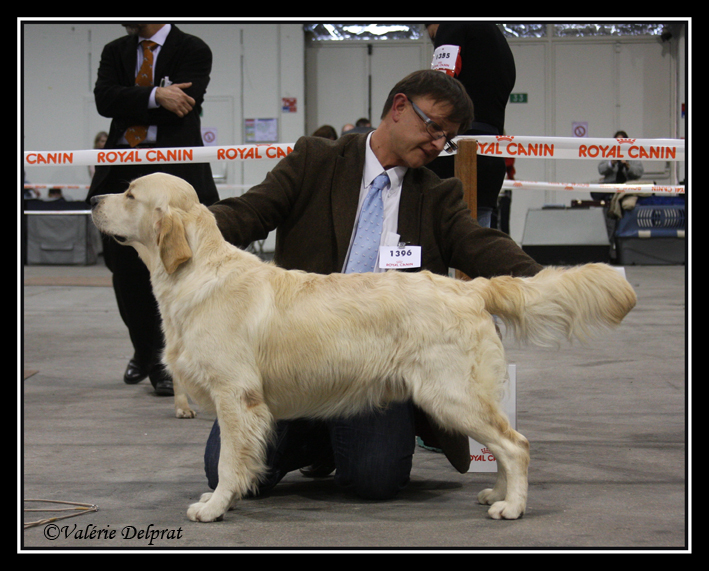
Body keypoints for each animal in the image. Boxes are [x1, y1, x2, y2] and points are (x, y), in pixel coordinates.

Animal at [90, 173, 636, 524]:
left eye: (130, 193)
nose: (94, 197)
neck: (196, 273)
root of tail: (471, 288)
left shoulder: (235, 396)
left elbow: (226, 461)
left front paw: (214, 506)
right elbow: (237, 460)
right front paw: (232, 497)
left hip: (450, 395)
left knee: (516, 445)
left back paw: (513, 506)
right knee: (505, 444)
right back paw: (496, 493)